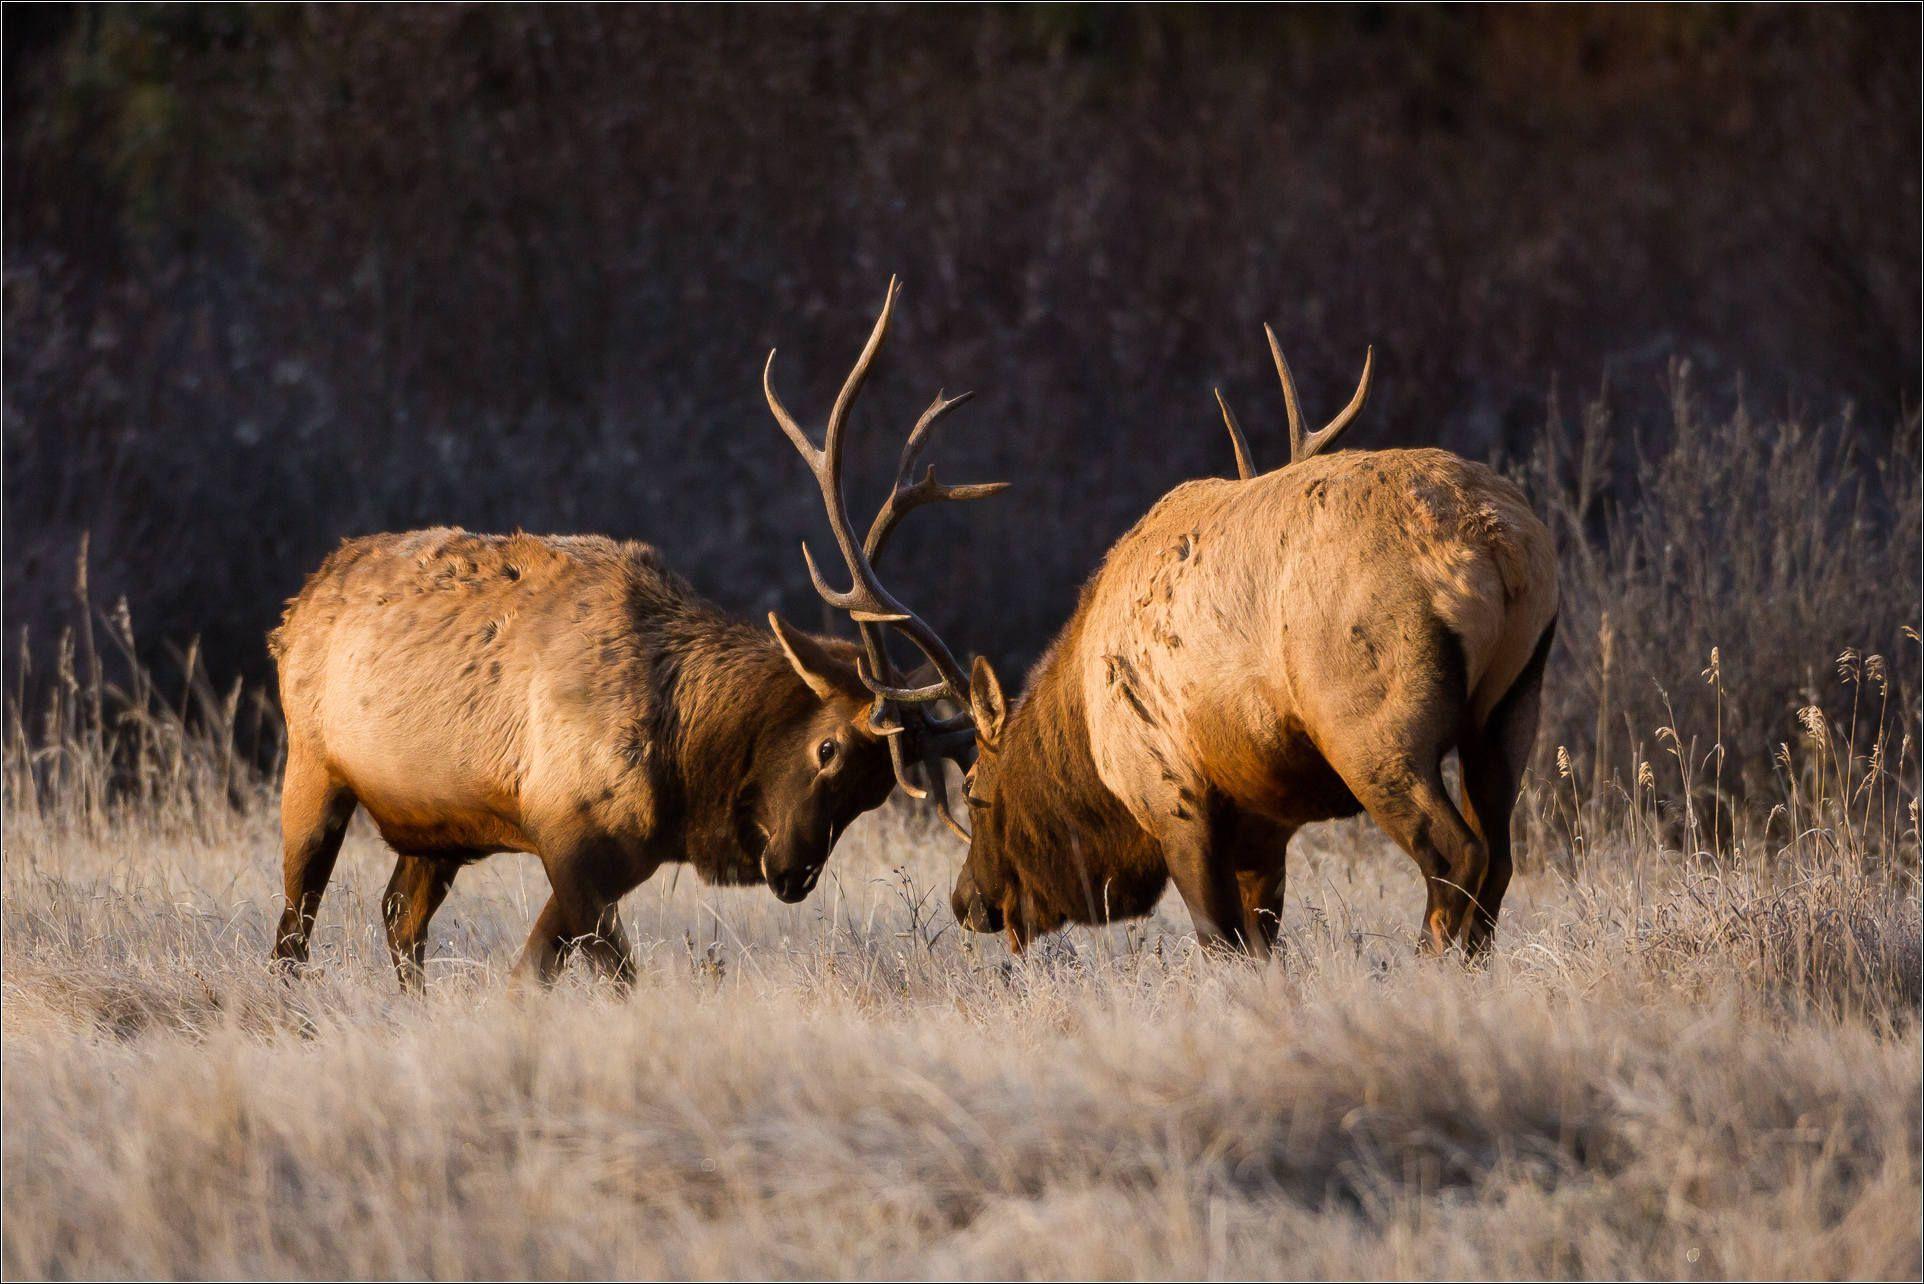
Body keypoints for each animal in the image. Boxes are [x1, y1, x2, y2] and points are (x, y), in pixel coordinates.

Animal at [267, 364, 1003, 990]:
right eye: (828, 748)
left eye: (877, 792)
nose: (793, 874)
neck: (681, 770)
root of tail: (298, 602)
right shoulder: (568, 838)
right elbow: (594, 978)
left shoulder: (616, 860)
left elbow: (536, 973)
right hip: (311, 762)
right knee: (293, 930)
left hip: (436, 824)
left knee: (399, 917)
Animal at [776, 292, 1558, 960]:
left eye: (974, 789)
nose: (968, 901)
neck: (1086, 730)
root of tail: (1500, 543)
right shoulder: (1261, 822)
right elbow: (1265, 940)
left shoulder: (1170, 792)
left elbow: (1223, 944)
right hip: (1510, 711)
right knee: (1499, 859)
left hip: (1373, 725)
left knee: (1456, 856)